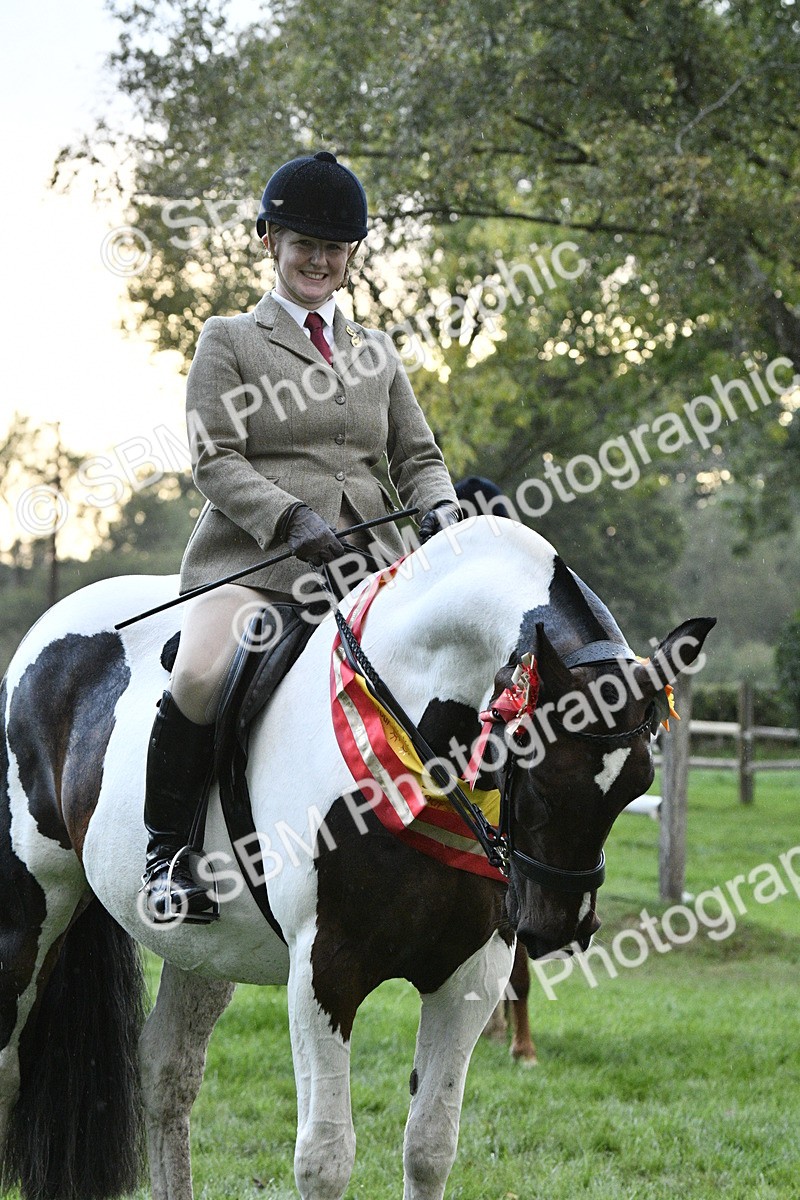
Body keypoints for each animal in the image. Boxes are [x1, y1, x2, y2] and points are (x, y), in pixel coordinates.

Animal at [0, 515, 714, 1200]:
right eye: (534, 769)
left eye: (637, 784)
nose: (559, 927)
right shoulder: (325, 967)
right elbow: (324, 1159)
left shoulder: (471, 973)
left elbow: (430, 1147)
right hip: (32, 909)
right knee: (10, 1062)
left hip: (205, 950)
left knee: (166, 1072)